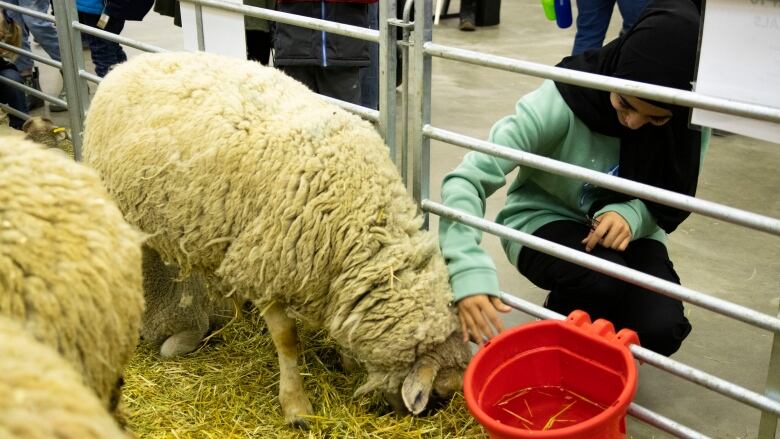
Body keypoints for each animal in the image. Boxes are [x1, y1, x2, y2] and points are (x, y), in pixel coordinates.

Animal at [80, 50, 470, 426]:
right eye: (436, 395)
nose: (403, 415)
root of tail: (126, 66)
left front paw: (347, 363)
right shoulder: (265, 264)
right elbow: (287, 341)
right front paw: (296, 406)